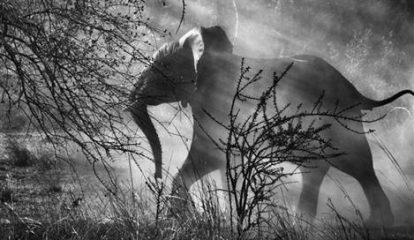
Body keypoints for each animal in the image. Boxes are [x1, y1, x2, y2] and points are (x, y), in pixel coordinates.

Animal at [128, 26, 412, 227]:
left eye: (163, 66)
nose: (155, 176)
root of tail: (356, 91)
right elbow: (217, 161)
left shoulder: (220, 105)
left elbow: (210, 156)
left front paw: (176, 221)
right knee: (320, 170)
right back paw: (305, 225)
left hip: (341, 120)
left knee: (358, 164)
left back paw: (377, 223)